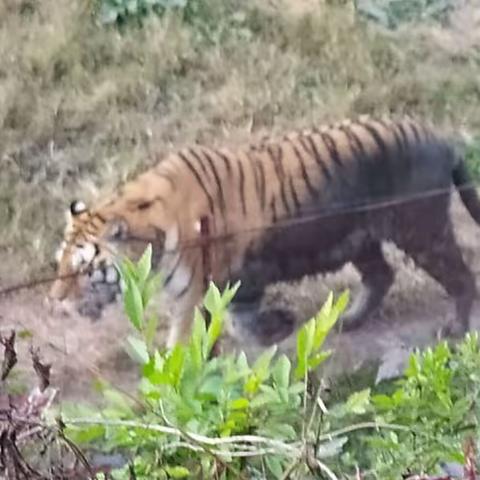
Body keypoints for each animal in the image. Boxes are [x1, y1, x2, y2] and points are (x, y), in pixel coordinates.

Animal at [48, 116, 480, 348]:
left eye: (83, 269)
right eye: (59, 265)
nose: (56, 302)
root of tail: (441, 139)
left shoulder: (195, 293)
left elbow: (195, 340)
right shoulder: (229, 284)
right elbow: (237, 321)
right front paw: (275, 328)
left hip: (422, 230)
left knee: (461, 275)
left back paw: (456, 328)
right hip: (359, 237)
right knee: (382, 274)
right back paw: (351, 320)